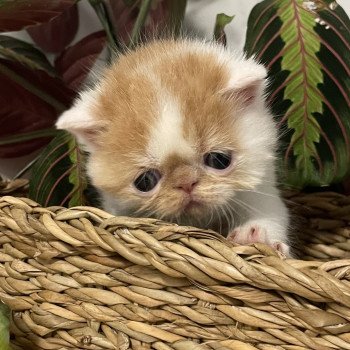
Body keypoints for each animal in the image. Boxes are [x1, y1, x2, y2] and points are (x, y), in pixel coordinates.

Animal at [56, 39, 292, 258]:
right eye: (145, 182)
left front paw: (256, 236)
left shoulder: (262, 187)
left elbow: (270, 212)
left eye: (219, 160)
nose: (186, 183)